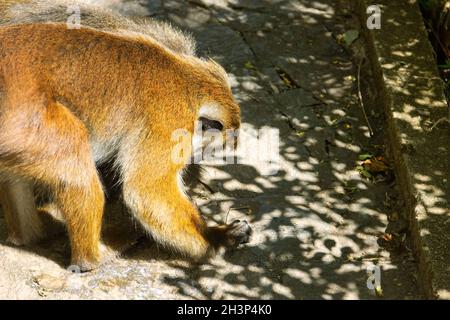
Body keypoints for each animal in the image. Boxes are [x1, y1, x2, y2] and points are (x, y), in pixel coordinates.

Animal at [0, 23, 251, 272]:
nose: (197, 157)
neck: (190, 85)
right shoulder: (170, 120)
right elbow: (147, 191)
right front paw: (215, 238)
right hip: (25, 126)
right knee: (74, 155)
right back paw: (89, 259)